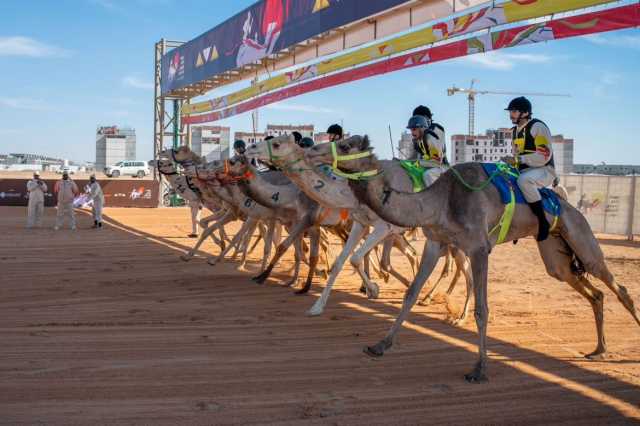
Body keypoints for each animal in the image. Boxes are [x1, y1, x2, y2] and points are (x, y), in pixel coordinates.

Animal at [242, 135, 472, 318]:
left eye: (277, 144)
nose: (250, 149)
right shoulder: (360, 223)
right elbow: (342, 262)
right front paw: (317, 307)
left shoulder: (383, 226)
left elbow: (355, 257)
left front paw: (374, 289)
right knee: (415, 256)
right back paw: (422, 293)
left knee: (461, 267)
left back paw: (453, 311)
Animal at [306, 136, 640, 382]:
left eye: (346, 145)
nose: (311, 151)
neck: (439, 201)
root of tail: (567, 204)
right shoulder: (436, 242)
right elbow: (410, 294)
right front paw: (380, 345)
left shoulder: (479, 248)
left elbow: (482, 309)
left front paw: (479, 369)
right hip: (555, 255)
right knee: (594, 292)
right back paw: (598, 349)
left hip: (580, 236)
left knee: (618, 287)